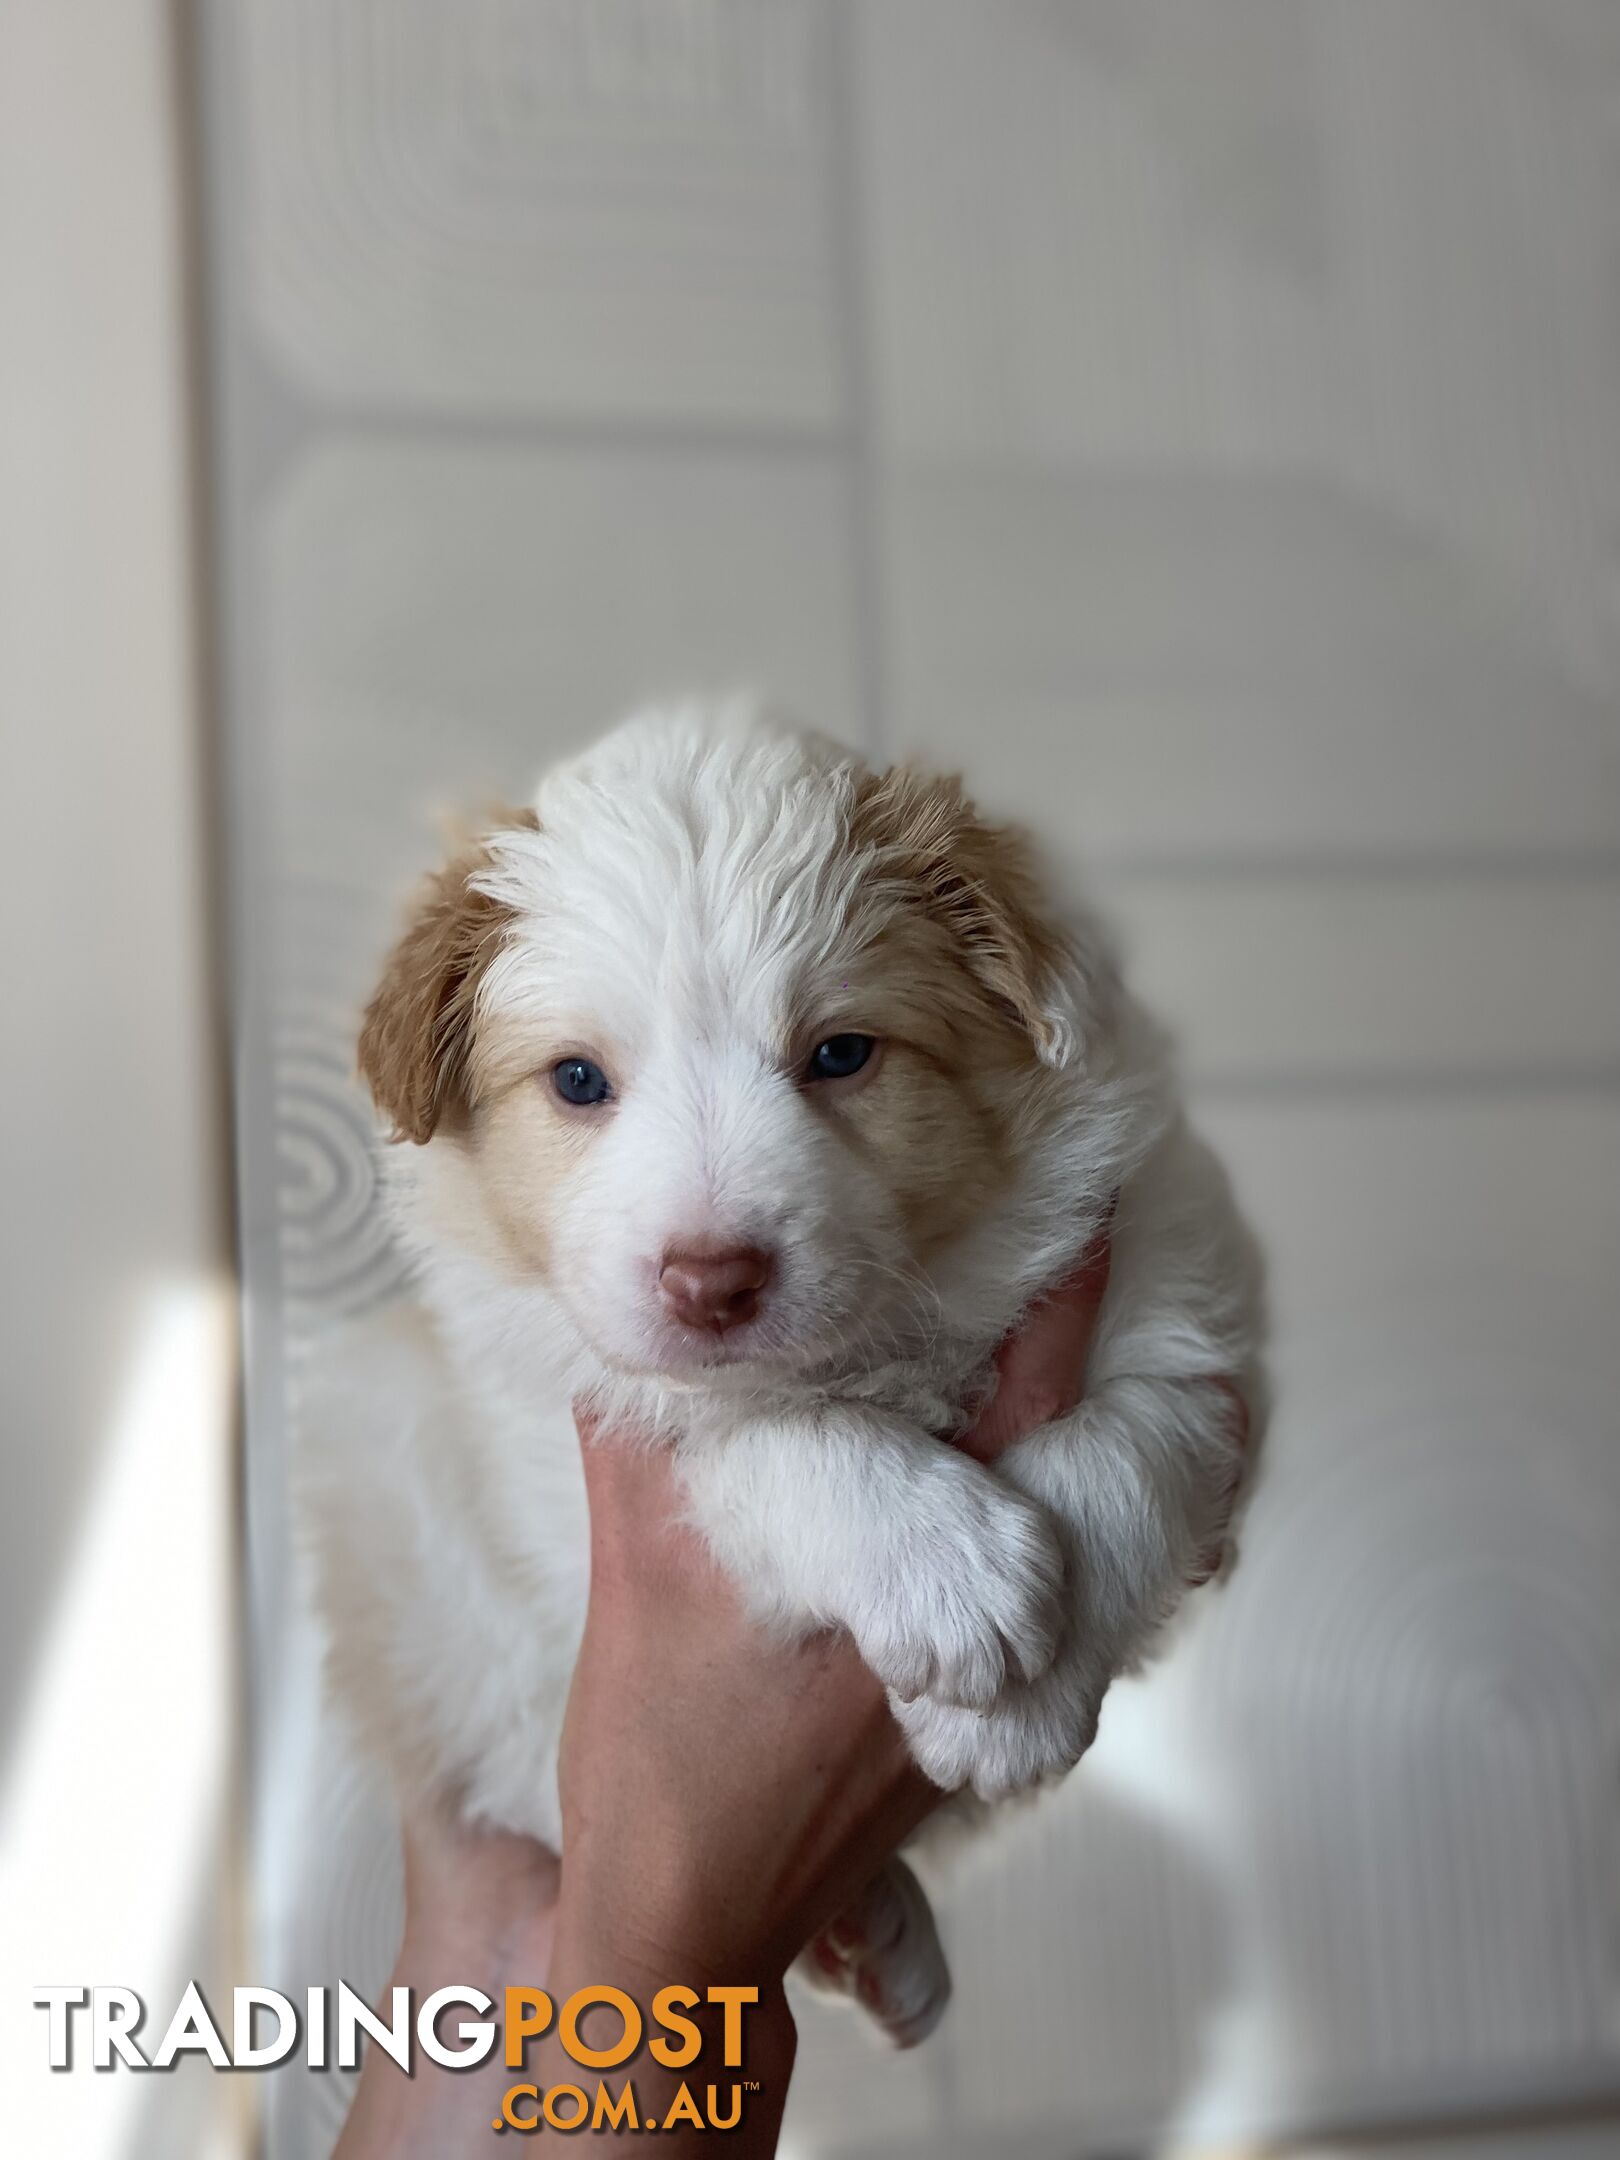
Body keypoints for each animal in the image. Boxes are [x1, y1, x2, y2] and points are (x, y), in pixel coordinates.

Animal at [304, 704, 1270, 2039]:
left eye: (843, 1052)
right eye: (578, 1081)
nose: (712, 1281)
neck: (886, 1339)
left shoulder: (1189, 1311)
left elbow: (1127, 1447)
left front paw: (1024, 1701)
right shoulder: (581, 1416)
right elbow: (757, 1436)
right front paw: (951, 1574)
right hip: (394, 1492)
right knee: (519, 1757)